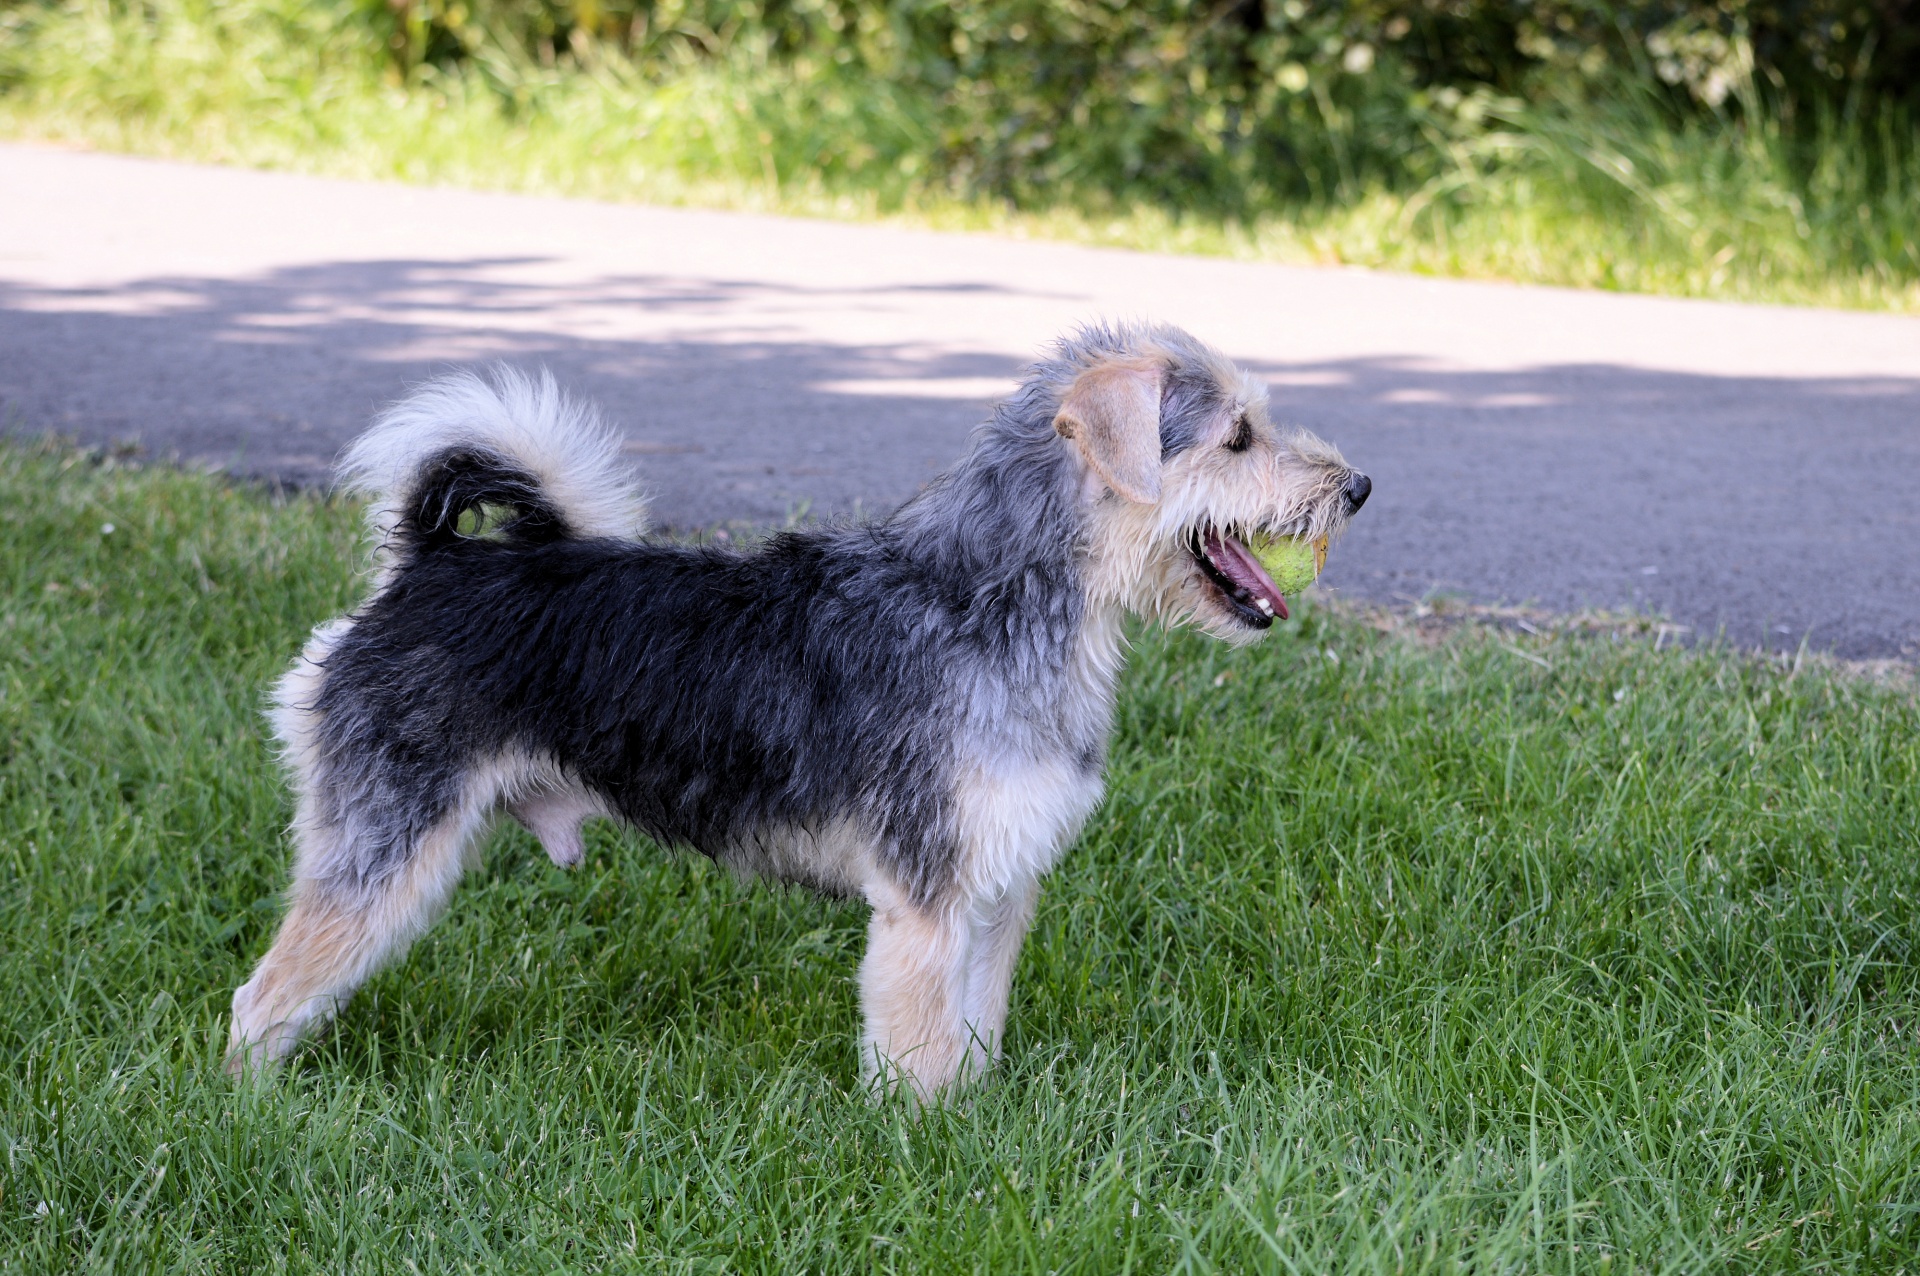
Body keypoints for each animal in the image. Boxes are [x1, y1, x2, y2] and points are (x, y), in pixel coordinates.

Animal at [228, 324, 1367, 1097]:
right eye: (1238, 436)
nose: (1357, 487)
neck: (987, 602)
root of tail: (424, 564)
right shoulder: (924, 905)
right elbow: (920, 1058)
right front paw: (929, 1156)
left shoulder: (996, 894)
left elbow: (976, 1037)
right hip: (382, 849)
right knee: (260, 1000)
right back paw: (254, 1114)